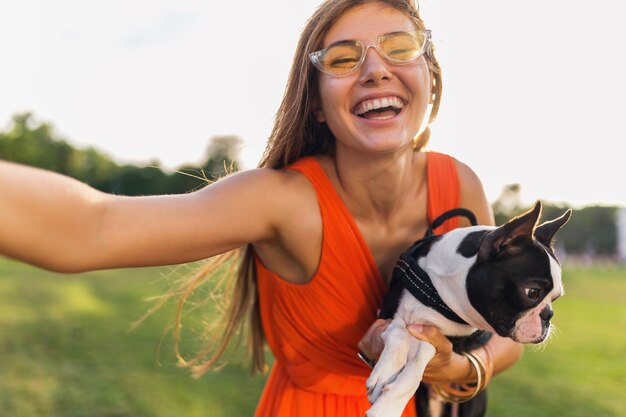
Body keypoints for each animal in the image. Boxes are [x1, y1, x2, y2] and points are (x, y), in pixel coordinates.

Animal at [366, 202, 572, 416]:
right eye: (533, 292)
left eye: (555, 298)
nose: (548, 315)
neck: (440, 292)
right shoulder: (386, 314)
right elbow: (398, 329)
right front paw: (386, 372)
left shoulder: (444, 341)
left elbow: (421, 357)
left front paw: (389, 404)